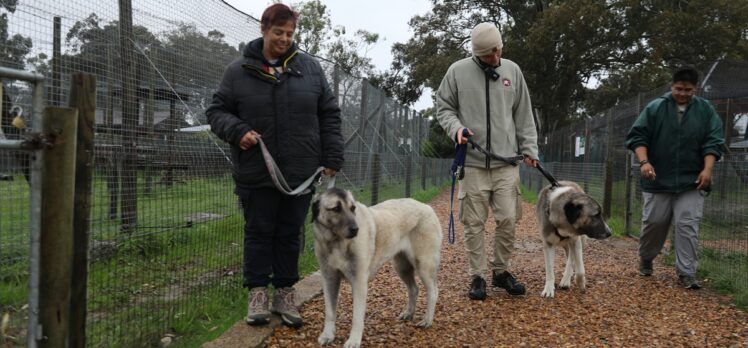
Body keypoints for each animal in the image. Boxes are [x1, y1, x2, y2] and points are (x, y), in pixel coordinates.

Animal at [312, 189, 442, 346]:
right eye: (336, 208)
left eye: (353, 208)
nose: (356, 229)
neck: (336, 243)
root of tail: (426, 207)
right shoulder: (329, 280)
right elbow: (330, 312)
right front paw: (328, 335)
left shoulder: (359, 283)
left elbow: (357, 317)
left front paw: (354, 340)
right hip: (401, 267)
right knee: (413, 289)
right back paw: (409, 313)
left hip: (423, 265)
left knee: (433, 291)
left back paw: (427, 320)